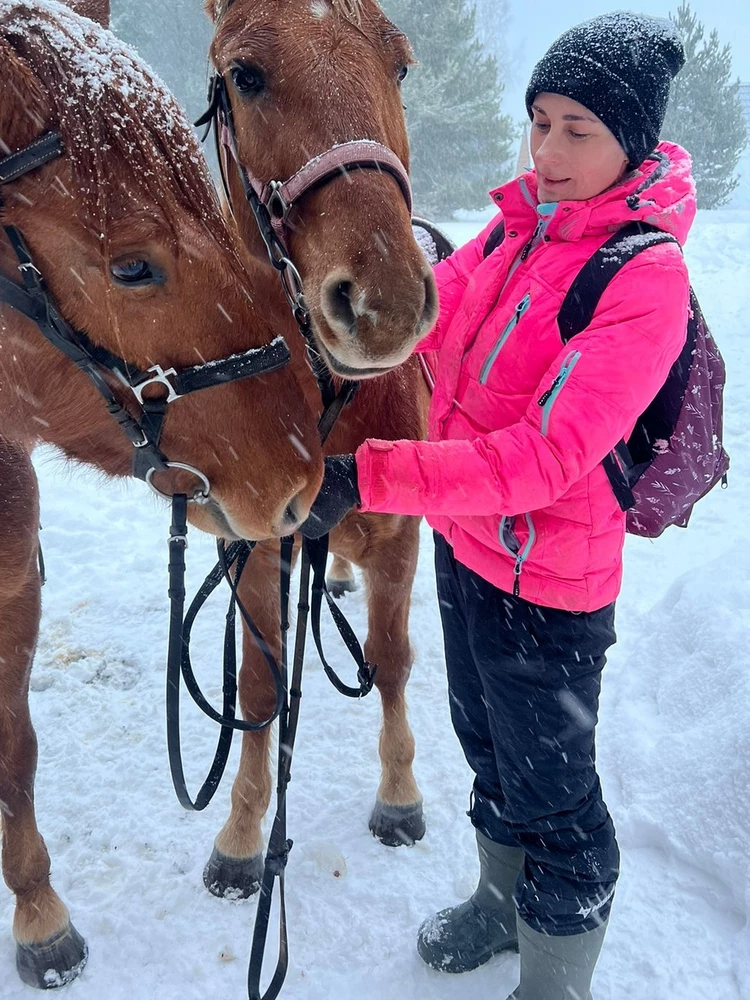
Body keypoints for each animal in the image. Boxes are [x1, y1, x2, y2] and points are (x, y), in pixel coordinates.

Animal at [203, 0, 444, 900]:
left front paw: (400, 795)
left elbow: (392, 660)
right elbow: (259, 688)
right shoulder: (254, 548)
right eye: (245, 76)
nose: (384, 302)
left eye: (400, 64)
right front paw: (242, 834)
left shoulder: (401, 532)